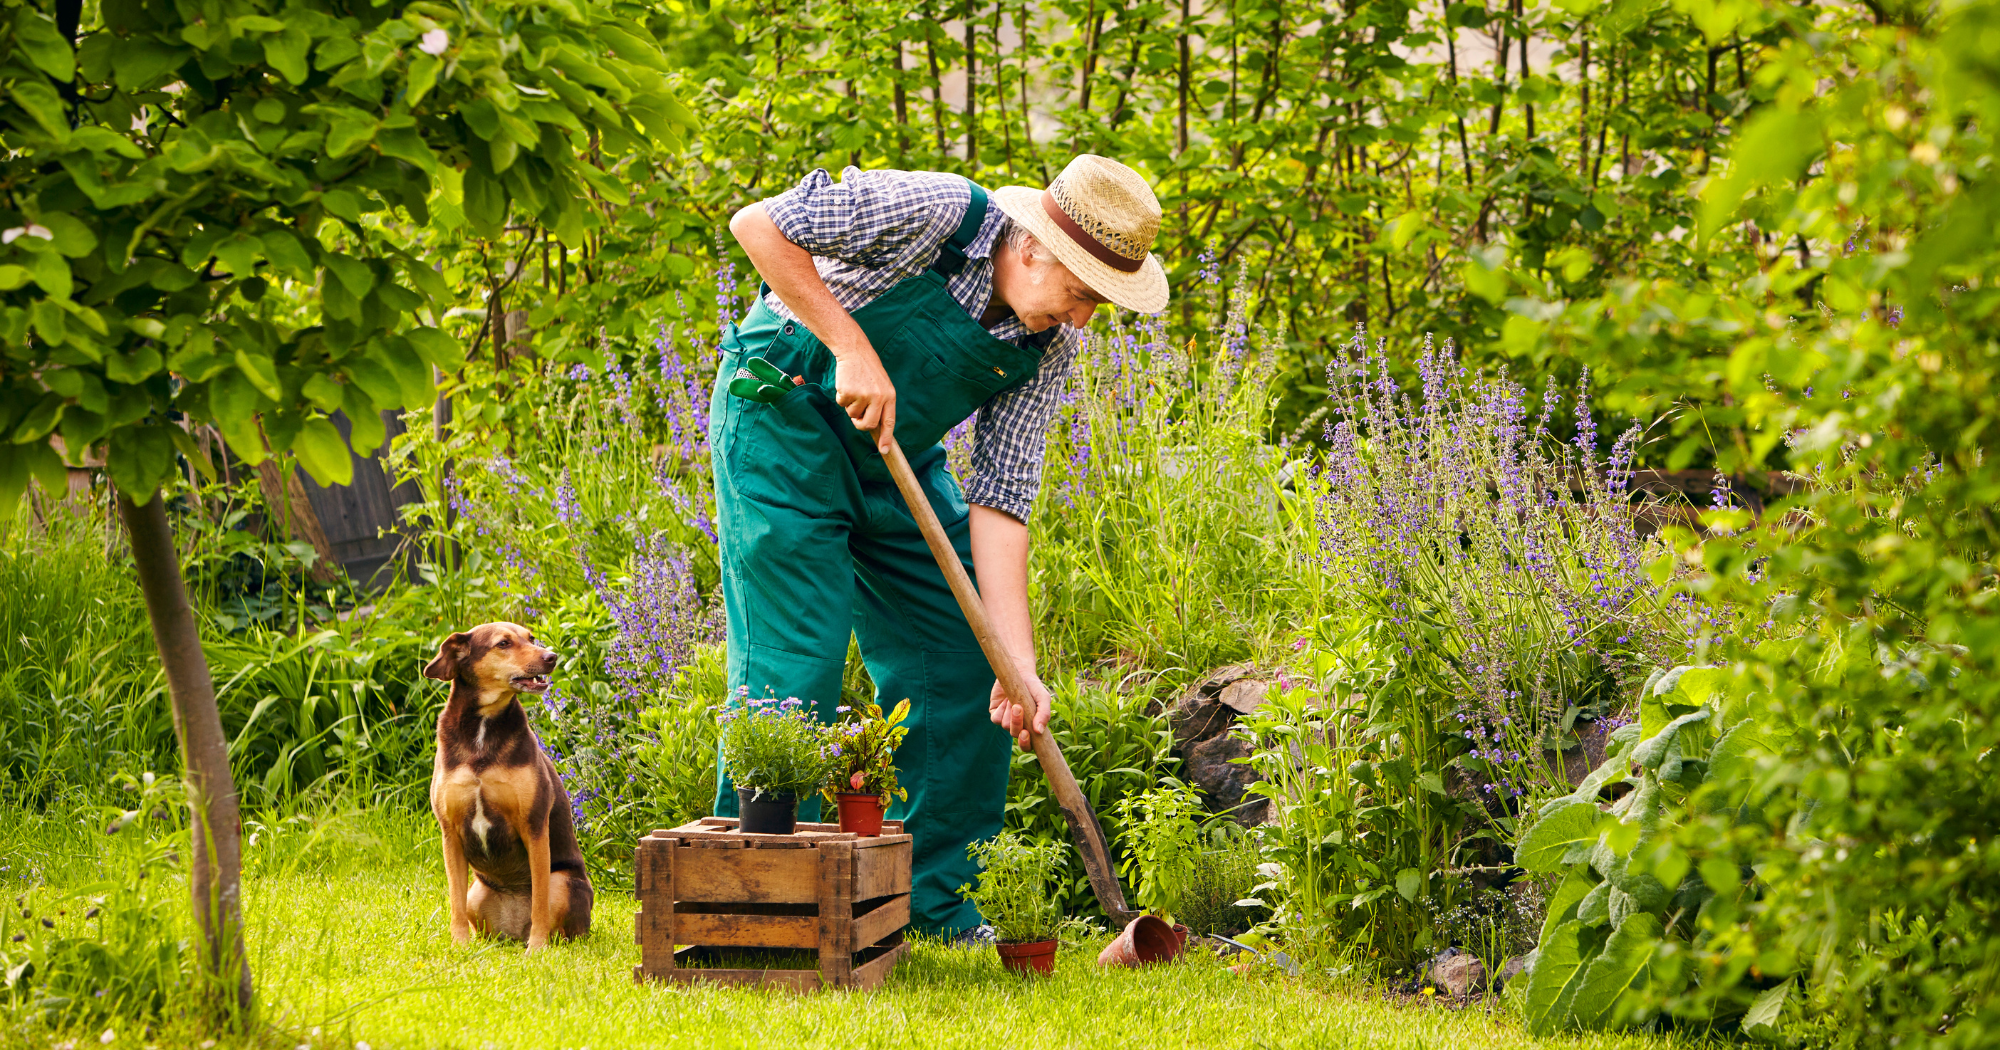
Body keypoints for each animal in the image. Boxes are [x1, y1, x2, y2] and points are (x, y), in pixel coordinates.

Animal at [426, 624, 588, 948]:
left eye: (531, 638)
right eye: (503, 643)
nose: (551, 657)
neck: (483, 727)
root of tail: (514, 931)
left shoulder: (533, 826)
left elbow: (539, 902)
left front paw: (537, 949)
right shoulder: (450, 834)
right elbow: (454, 902)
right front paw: (459, 946)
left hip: (562, 882)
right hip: (476, 893)